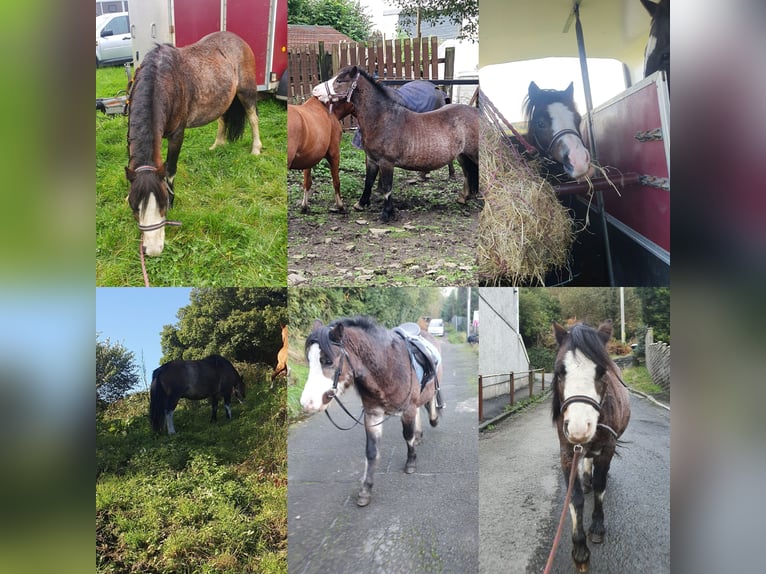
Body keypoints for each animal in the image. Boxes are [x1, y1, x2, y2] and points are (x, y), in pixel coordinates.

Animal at [300, 320, 444, 508]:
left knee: (430, 399)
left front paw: (411, 462)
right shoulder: (373, 414)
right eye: (309, 361)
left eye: (328, 361)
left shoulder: (407, 409)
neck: (388, 369)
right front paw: (366, 490)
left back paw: (433, 419)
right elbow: (371, 452)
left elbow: (408, 436)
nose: (307, 403)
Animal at [310, 65, 476, 223]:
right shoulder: (372, 159)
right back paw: (464, 198)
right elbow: (368, 181)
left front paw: (386, 214)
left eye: (339, 81)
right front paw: (361, 204)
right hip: (462, 156)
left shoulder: (386, 162)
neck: (382, 119)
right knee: (468, 173)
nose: (315, 91)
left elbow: (387, 187)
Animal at [556, 322, 632, 572]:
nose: (579, 428)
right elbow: (575, 497)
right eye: (560, 371)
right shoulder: (567, 453)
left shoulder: (606, 450)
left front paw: (597, 527)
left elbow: (600, 486)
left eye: (601, 372)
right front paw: (580, 548)